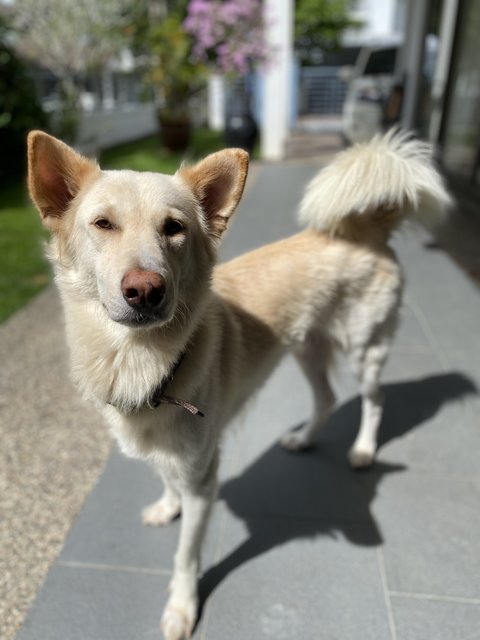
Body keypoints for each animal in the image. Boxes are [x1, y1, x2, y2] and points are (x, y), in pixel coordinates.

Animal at [28, 127, 452, 636]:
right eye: (103, 223)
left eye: (174, 228)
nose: (146, 290)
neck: (141, 360)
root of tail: (365, 230)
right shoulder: (170, 451)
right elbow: (165, 478)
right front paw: (166, 506)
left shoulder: (203, 479)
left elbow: (186, 555)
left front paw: (182, 609)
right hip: (308, 347)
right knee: (327, 398)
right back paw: (303, 439)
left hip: (364, 350)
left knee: (374, 399)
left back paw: (364, 450)